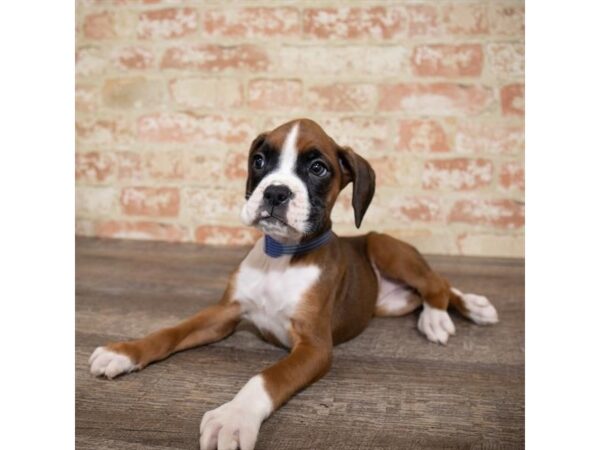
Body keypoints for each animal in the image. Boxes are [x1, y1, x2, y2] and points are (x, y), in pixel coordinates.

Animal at [88, 118, 496, 450]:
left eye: (317, 168)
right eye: (259, 161)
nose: (275, 192)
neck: (282, 257)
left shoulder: (314, 347)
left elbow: (267, 378)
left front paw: (234, 417)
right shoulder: (223, 313)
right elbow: (171, 332)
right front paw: (124, 351)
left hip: (385, 247)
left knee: (437, 283)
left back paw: (442, 317)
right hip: (392, 302)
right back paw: (469, 306)